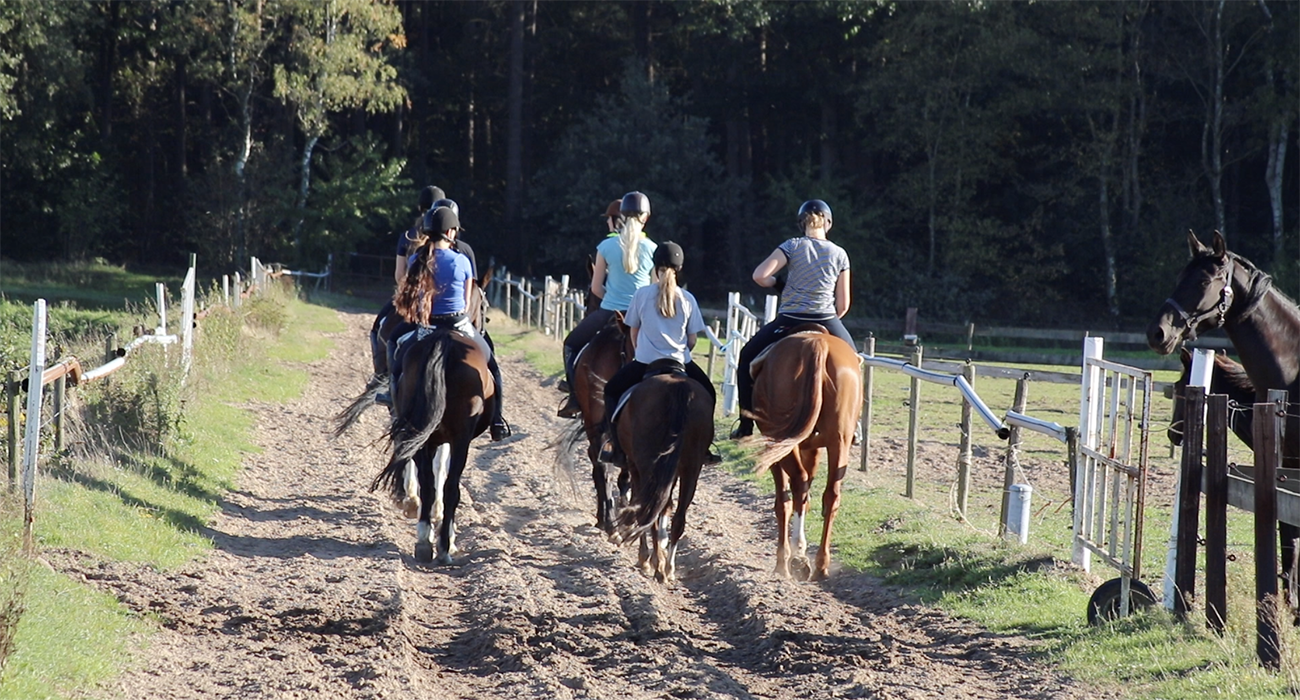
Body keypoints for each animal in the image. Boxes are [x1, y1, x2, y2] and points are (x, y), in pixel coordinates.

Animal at [608, 361, 712, 580]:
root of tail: (678, 389)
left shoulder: (636, 467)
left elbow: (641, 506)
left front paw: (646, 557)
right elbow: (667, 505)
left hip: (648, 465)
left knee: (648, 511)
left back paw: (656, 564)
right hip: (692, 467)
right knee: (679, 517)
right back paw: (668, 568)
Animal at [743, 323, 863, 580]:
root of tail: (817, 345)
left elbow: (783, 502)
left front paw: (782, 562)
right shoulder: (812, 448)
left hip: (781, 441)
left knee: (798, 483)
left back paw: (797, 555)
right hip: (840, 440)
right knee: (831, 494)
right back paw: (820, 564)